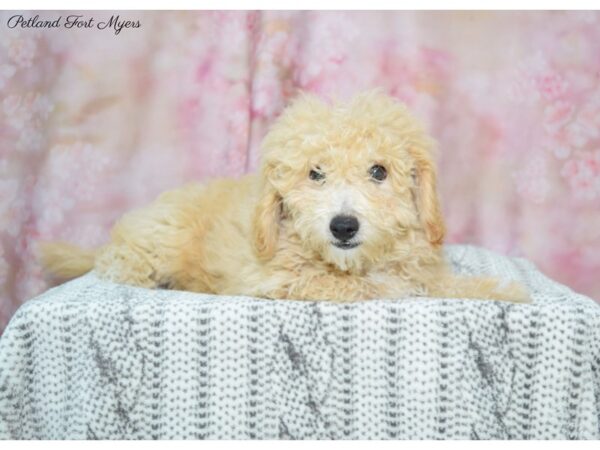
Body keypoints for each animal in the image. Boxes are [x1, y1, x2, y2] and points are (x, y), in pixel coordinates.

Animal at [41, 91, 528, 302]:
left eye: (379, 172)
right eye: (315, 174)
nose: (343, 226)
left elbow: (436, 282)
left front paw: (498, 289)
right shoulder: (280, 281)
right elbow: (375, 288)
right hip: (153, 245)